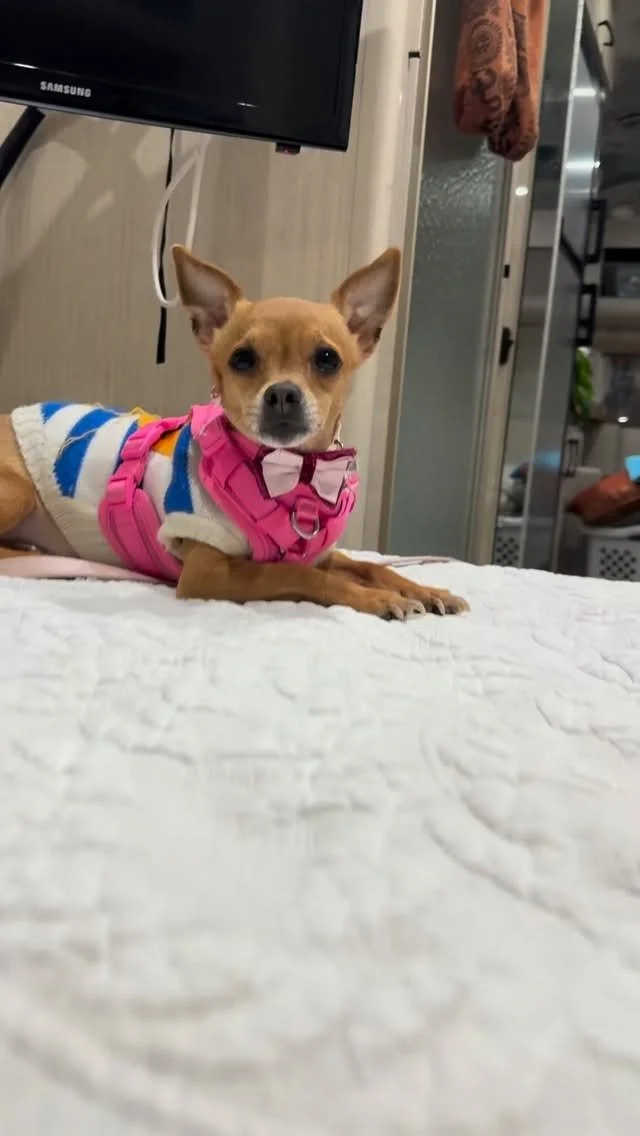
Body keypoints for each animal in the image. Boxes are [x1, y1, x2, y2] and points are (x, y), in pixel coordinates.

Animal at [0, 246, 469, 621]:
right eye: (242, 359)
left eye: (328, 359)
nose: (282, 393)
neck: (294, 473)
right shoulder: (208, 570)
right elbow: (296, 573)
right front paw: (377, 599)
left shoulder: (321, 553)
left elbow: (370, 566)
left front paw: (425, 590)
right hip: (19, 492)